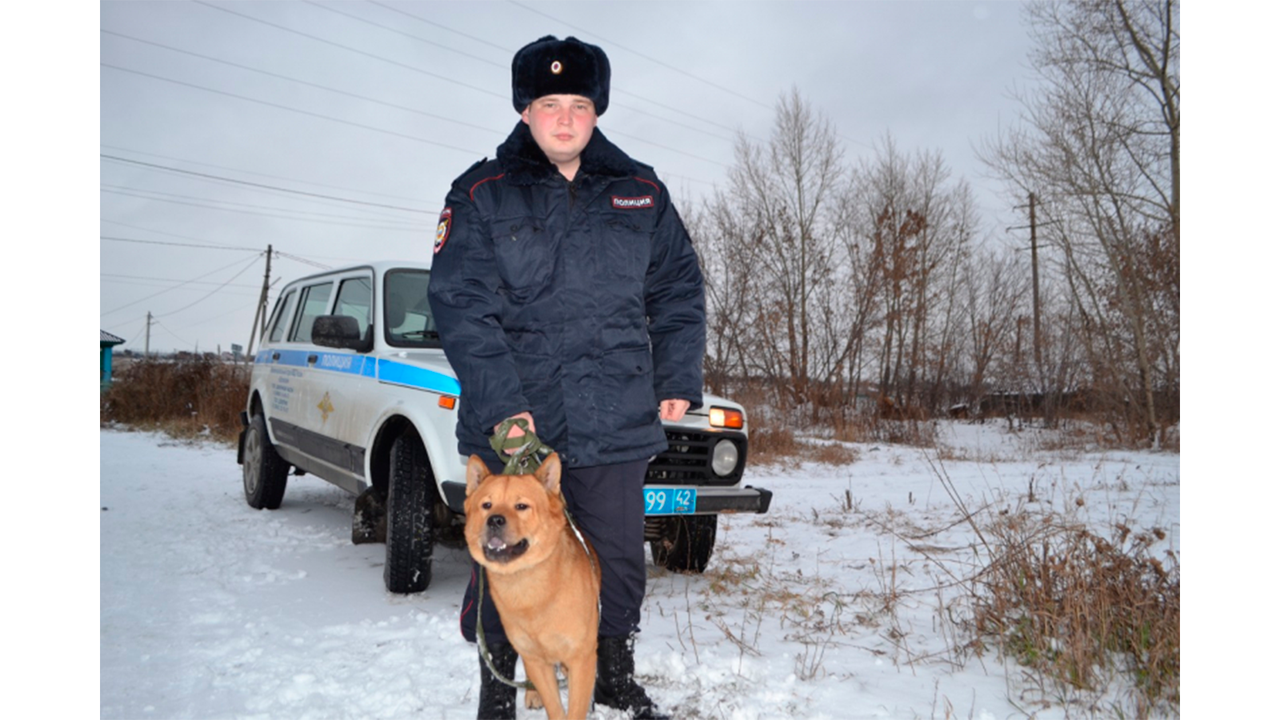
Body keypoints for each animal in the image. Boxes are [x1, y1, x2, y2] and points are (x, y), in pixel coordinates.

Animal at [465, 453, 599, 717]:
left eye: (521, 506)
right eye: (486, 505)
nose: (494, 520)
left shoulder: (581, 657)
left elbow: (575, 709)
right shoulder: (534, 658)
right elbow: (554, 707)